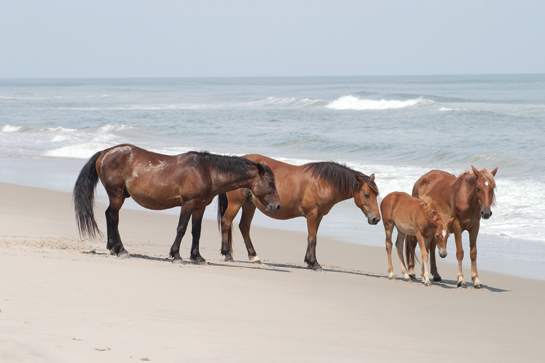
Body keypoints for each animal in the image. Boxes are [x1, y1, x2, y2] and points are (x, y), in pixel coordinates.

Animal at [73, 143, 280, 264]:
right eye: (271, 183)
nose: (277, 206)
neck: (207, 171)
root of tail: (105, 152)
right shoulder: (187, 204)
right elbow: (181, 228)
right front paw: (176, 255)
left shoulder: (200, 206)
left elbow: (196, 231)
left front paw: (197, 257)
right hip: (116, 195)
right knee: (113, 217)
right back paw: (121, 249)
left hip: (120, 196)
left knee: (109, 215)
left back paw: (113, 248)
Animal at [216, 155, 378, 272]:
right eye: (366, 195)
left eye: (376, 194)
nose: (376, 219)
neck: (323, 183)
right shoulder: (312, 215)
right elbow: (313, 238)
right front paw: (315, 263)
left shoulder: (318, 216)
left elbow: (311, 237)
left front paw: (309, 262)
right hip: (236, 203)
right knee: (226, 222)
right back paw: (228, 255)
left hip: (249, 205)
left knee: (244, 227)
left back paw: (254, 256)